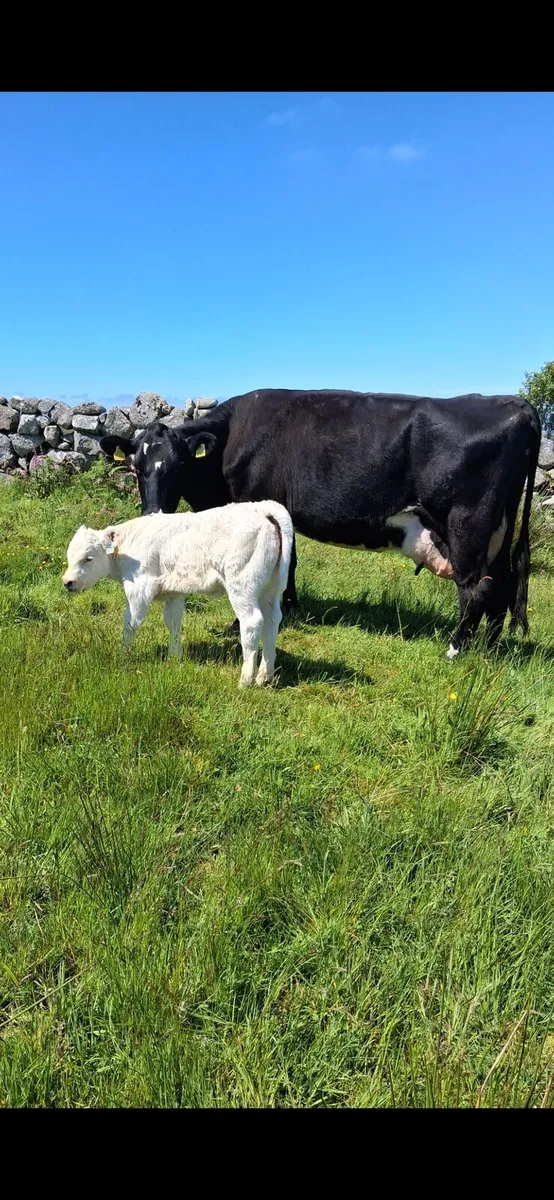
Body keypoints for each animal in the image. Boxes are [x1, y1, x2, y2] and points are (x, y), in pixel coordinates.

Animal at [62, 501, 293, 688]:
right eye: (70, 556)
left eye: (88, 558)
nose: (67, 582)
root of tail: (263, 509)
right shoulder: (174, 593)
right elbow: (173, 621)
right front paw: (175, 656)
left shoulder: (138, 588)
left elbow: (130, 622)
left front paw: (123, 655)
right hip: (270, 590)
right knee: (272, 621)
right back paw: (265, 676)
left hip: (242, 586)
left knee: (252, 623)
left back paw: (245, 681)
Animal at [100, 389, 541, 659]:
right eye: (136, 467)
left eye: (178, 466)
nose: (154, 515)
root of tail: (516, 405)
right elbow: (290, 562)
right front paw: (291, 606)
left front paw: (246, 619)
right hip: (497, 532)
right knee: (501, 586)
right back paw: (489, 648)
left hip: (468, 525)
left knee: (475, 589)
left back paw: (454, 650)